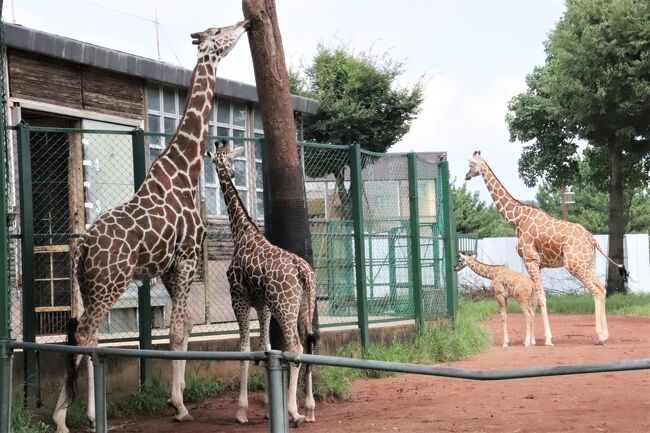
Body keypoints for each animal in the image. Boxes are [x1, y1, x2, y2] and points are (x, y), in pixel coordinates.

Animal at [52, 20, 251, 432]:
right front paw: (180, 405)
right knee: (86, 334)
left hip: (90, 286)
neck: (185, 170)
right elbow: (175, 329)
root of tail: (82, 246)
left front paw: (179, 395)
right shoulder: (187, 258)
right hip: (110, 284)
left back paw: (73, 414)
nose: (244, 23)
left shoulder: (169, 268)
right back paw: (73, 417)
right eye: (219, 32)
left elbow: (185, 326)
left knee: (82, 334)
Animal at [209, 142, 318, 426]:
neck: (242, 231)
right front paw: (269, 406)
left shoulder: (239, 298)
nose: (231, 173)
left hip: (284, 305)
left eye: (216, 160)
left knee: (295, 346)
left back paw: (294, 411)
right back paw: (310, 408)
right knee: (309, 342)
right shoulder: (262, 305)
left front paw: (241, 411)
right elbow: (266, 347)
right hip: (303, 305)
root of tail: (303, 271)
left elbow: (245, 349)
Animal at [464, 152, 624, 344]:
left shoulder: (530, 260)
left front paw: (546, 339)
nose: (466, 176)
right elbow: (534, 299)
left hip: (574, 265)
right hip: (589, 263)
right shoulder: (537, 264)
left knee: (595, 291)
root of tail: (591, 238)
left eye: (471, 164)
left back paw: (600, 336)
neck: (517, 219)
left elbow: (541, 298)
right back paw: (605, 335)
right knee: (602, 289)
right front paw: (532, 340)